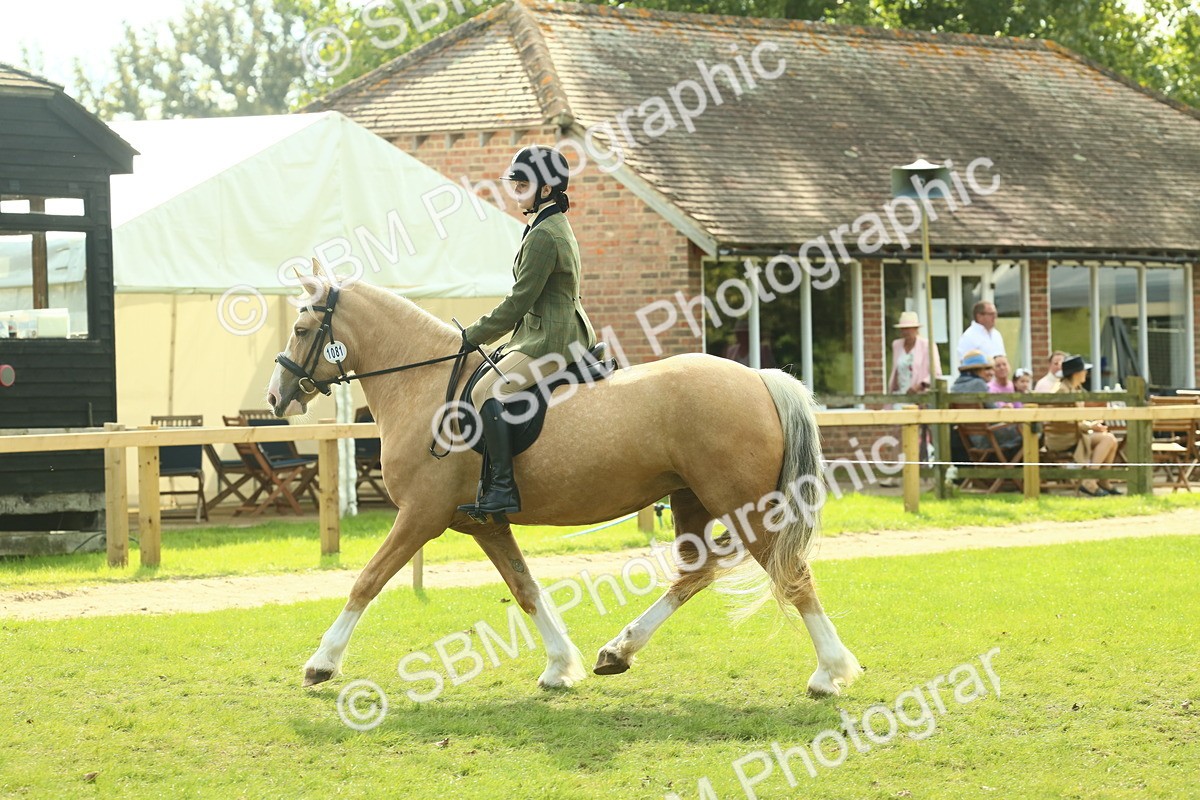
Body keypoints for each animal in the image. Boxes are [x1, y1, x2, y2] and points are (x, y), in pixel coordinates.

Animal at [266, 269, 863, 697]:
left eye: (300, 330)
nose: (276, 397)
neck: (429, 386)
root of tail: (758, 378)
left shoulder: (422, 515)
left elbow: (366, 581)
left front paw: (321, 664)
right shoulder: (481, 523)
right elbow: (525, 589)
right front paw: (559, 667)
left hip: (747, 506)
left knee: (792, 576)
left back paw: (829, 673)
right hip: (694, 500)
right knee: (697, 573)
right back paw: (617, 652)